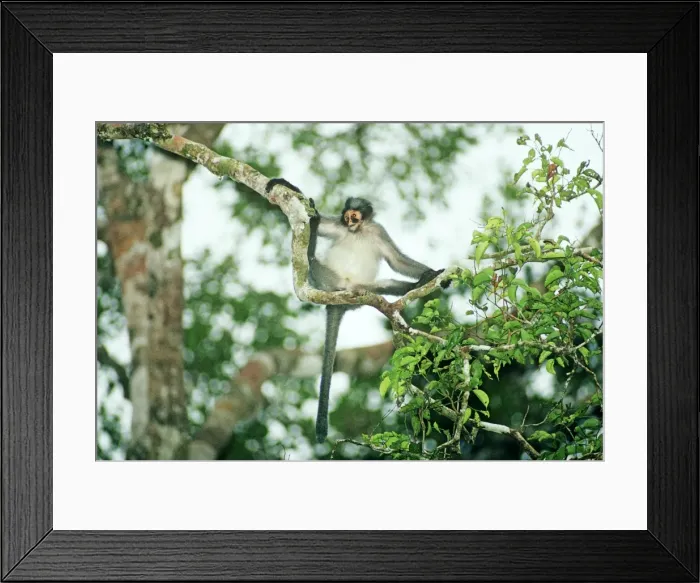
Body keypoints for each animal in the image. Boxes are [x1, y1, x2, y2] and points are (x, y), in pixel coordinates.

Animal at [266, 178, 445, 443]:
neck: (358, 232)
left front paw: (433, 274)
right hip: (326, 280)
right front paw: (285, 185)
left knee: (387, 284)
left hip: (363, 291)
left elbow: (396, 260)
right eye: (347, 216)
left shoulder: (378, 231)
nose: (348, 221)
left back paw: (416, 285)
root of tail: (340, 296)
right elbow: (317, 219)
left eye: (355, 216)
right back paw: (311, 243)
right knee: (310, 259)